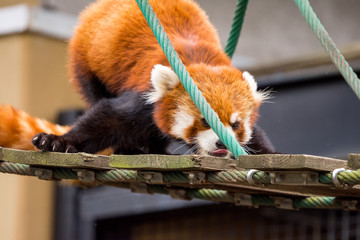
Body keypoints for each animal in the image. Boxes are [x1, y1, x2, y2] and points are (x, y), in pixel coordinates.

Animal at [1, 0, 276, 158]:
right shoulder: (143, 97)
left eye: (235, 124)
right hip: (87, 63)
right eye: (204, 121)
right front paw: (56, 141)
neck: (200, 59)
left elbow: (257, 138)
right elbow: (105, 119)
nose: (222, 141)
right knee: (95, 94)